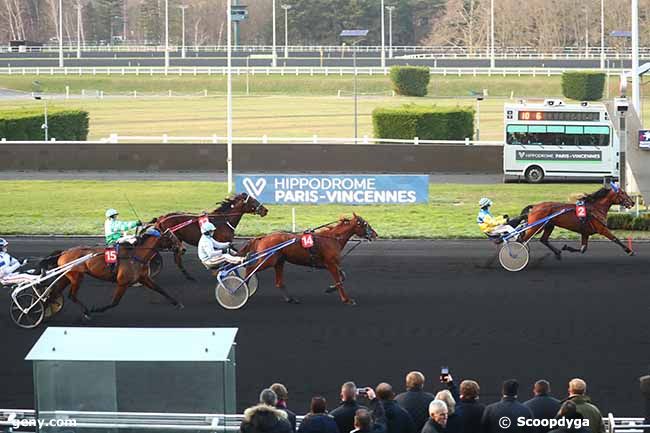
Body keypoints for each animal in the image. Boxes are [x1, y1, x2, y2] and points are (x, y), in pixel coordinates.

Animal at [39, 224, 184, 318]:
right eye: (171, 237)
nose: (183, 249)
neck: (136, 255)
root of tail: (64, 252)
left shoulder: (144, 278)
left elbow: (160, 289)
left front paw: (177, 303)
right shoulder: (123, 283)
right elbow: (115, 302)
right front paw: (97, 309)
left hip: (66, 276)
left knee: (55, 292)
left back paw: (46, 307)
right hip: (76, 277)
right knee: (71, 295)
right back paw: (86, 312)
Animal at [239, 213, 378, 304]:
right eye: (364, 224)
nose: (375, 234)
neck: (332, 238)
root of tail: (263, 237)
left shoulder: (331, 264)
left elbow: (343, 276)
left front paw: (330, 288)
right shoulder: (330, 264)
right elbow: (339, 280)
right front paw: (346, 299)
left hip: (279, 261)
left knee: (278, 282)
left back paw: (290, 299)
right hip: (268, 260)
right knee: (250, 268)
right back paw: (243, 288)